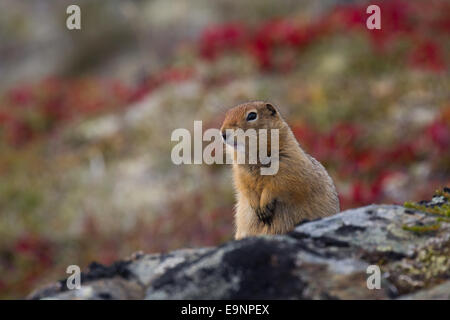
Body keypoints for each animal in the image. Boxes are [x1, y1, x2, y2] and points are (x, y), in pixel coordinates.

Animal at [220, 101, 340, 239]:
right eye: (227, 114)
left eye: (252, 115)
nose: (223, 133)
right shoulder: (240, 173)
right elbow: (244, 188)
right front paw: (257, 206)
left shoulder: (288, 165)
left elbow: (278, 185)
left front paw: (264, 206)